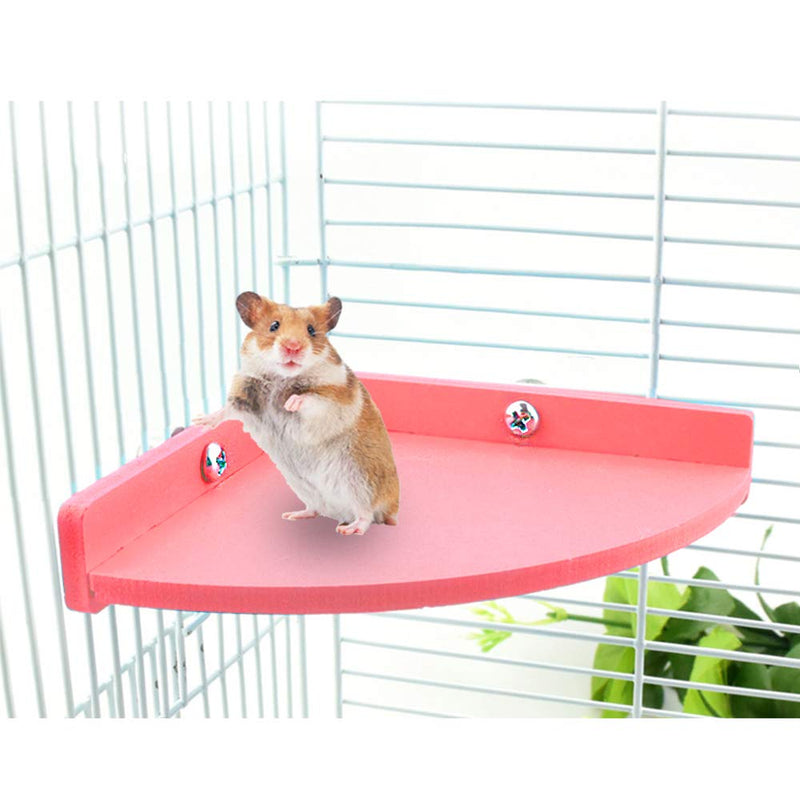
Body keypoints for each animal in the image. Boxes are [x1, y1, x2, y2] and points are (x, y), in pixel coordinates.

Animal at [193, 292, 399, 536]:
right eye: (274, 326)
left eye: (311, 330)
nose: (293, 347)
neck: (281, 377)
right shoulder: (245, 396)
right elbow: (226, 410)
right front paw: (198, 421)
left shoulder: (333, 398)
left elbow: (310, 398)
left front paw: (290, 403)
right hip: (305, 488)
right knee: (315, 509)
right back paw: (293, 515)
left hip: (361, 482)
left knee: (366, 515)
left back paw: (348, 530)